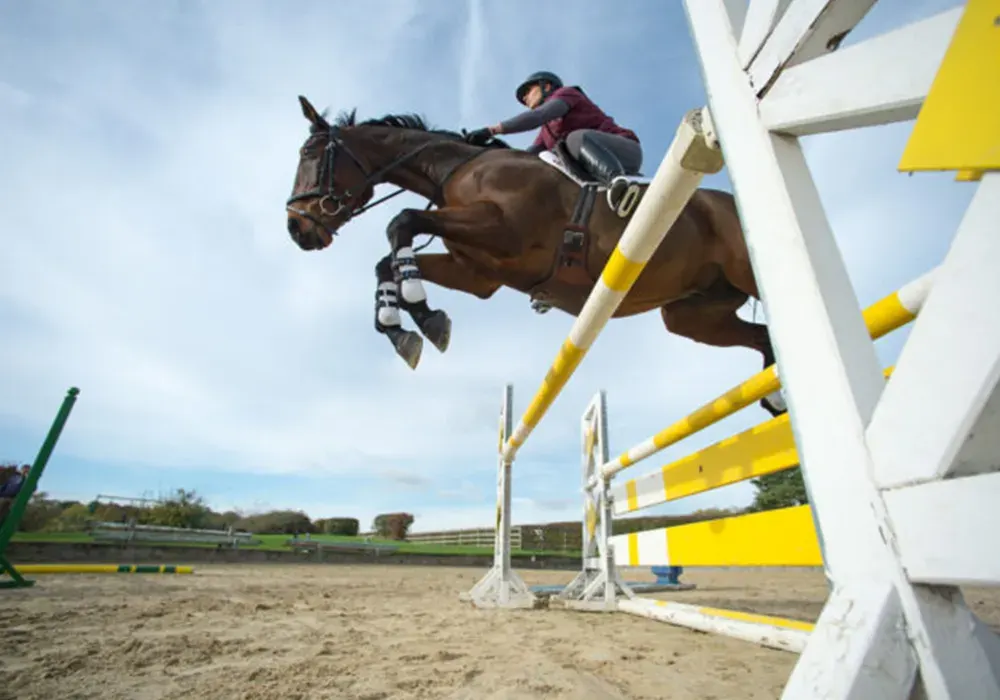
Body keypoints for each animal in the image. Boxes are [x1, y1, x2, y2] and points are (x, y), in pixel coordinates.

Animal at [284, 96, 784, 416]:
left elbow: (401, 222)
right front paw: (405, 326)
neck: (456, 170)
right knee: (762, 337)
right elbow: (386, 261)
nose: (296, 230)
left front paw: (419, 311)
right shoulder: (477, 272)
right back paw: (776, 397)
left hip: (745, 275)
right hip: (694, 316)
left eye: (310, 153)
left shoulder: (505, 233)